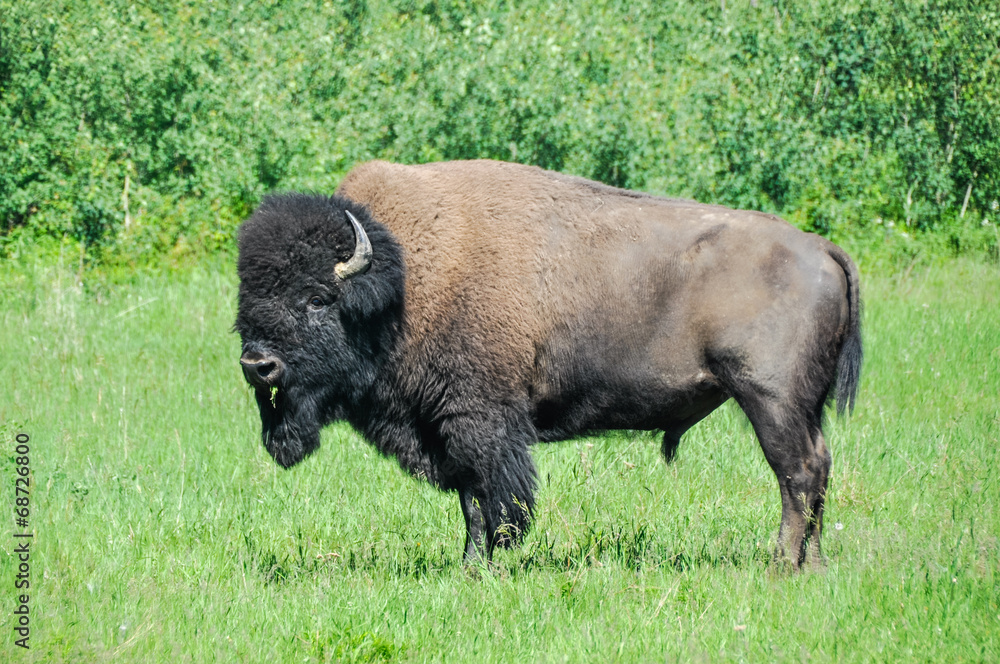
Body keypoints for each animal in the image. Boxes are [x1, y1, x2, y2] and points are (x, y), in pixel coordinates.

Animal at [234, 158, 860, 568]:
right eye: (247, 297)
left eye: (318, 298)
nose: (257, 364)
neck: (403, 284)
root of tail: (820, 247)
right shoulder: (449, 427)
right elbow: (470, 502)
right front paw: (471, 565)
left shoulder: (478, 422)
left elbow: (491, 498)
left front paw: (487, 564)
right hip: (802, 407)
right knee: (819, 468)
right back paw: (813, 564)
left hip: (769, 399)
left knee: (797, 474)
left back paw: (779, 564)